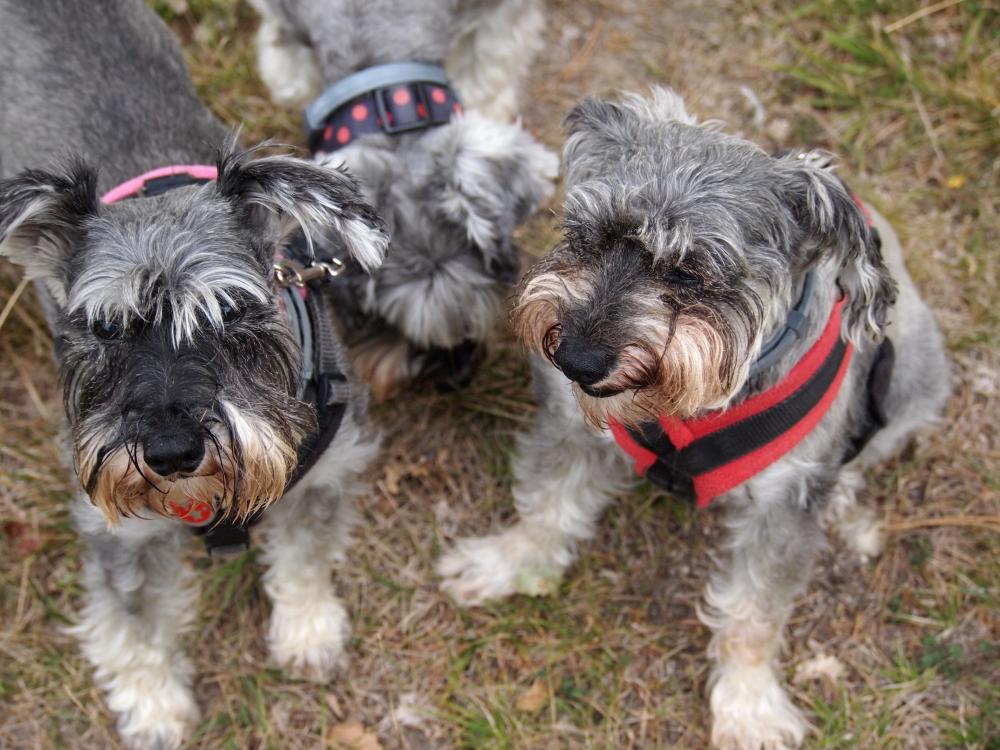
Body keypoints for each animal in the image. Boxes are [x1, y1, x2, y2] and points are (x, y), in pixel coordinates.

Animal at [0, 1, 390, 750]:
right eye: (105, 327)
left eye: (230, 311)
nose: (172, 451)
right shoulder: (116, 532)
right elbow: (133, 624)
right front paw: (152, 705)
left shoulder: (324, 472)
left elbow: (305, 554)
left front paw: (307, 629)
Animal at [438, 89, 944, 750]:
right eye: (585, 235)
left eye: (688, 269)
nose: (576, 360)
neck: (689, 408)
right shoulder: (572, 432)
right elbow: (546, 507)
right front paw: (507, 563)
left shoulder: (781, 508)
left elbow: (755, 611)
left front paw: (749, 706)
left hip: (915, 376)